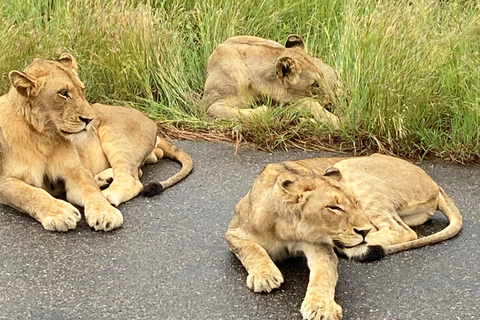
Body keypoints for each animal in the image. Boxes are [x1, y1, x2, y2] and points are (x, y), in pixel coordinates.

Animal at [0, 53, 192, 231]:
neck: (43, 135)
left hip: (115, 135)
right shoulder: (4, 180)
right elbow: (30, 193)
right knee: (142, 167)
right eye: (63, 93)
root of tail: (152, 122)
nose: (90, 119)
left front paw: (105, 212)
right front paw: (61, 212)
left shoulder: (75, 170)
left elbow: (90, 189)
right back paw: (105, 179)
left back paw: (108, 194)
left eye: (81, 90)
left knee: (132, 178)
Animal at [202, 33, 342, 126]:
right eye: (315, 85)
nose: (333, 103)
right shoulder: (209, 105)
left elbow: (310, 103)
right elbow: (238, 113)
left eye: (322, 77)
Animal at [227, 154, 464, 318]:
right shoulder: (233, 232)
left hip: (350, 167)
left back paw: (352, 247)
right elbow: (251, 248)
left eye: (355, 202)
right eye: (333, 207)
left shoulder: (320, 246)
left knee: (403, 230)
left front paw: (321, 307)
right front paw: (265, 276)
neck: (287, 228)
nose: (363, 230)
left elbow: (323, 274)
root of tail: (436, 184)